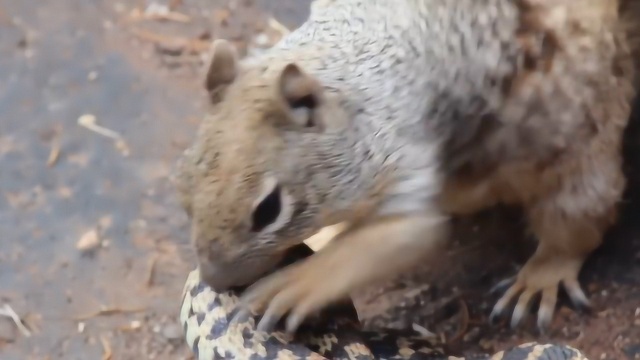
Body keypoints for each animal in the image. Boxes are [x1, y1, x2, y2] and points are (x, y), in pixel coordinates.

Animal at [172, 0, 640, 336]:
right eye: (184, 189)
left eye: (268, 209)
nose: (217, 280)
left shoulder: (397, 154)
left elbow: (405, 234)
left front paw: (297, 284)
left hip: (578, 156)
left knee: (574, 226)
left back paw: (541, 276)